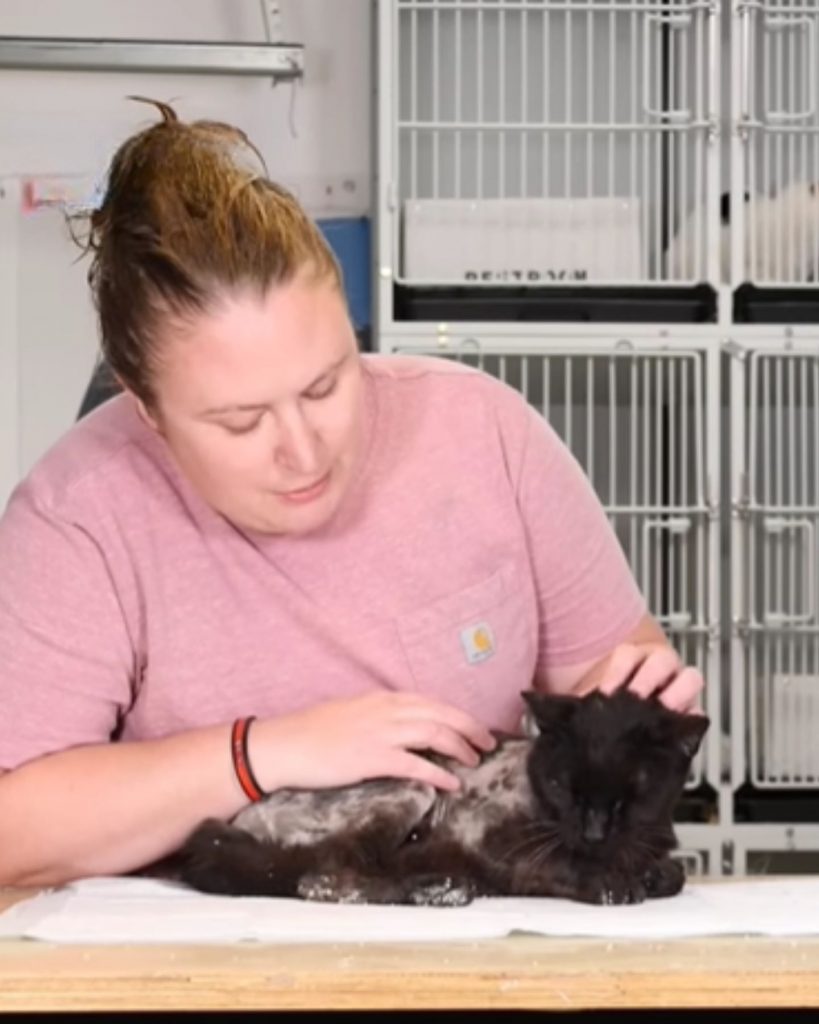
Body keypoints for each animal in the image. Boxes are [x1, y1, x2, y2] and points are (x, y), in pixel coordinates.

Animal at [173, 692, 708, 909]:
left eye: (633, 793)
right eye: (563, 786)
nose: (594, 830)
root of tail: (241, 818)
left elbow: (673, 872)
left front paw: (648, 871)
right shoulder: (495, 839)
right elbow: (557, 864)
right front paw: (611, 882)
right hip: (411, 789)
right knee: (324, 879)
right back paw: (437, 889)